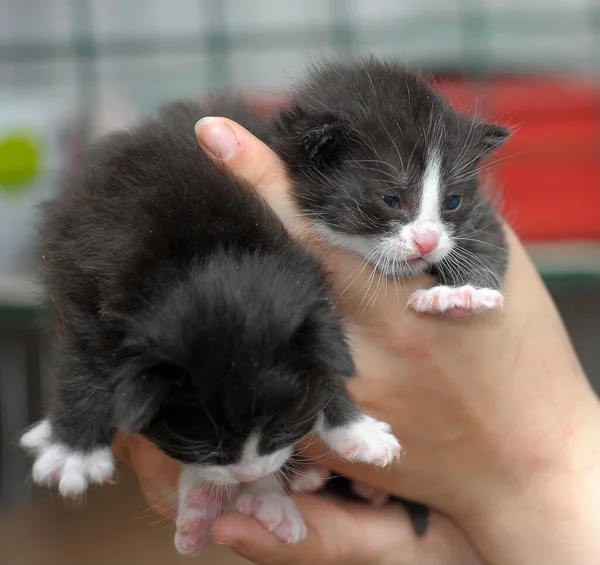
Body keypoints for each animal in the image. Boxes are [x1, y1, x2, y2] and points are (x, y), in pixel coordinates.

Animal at [21, 98, 400, 556]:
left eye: (283, 427)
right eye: (203, 446)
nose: (246, 473)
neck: (210, 255)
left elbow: (328, 351)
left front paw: (355, 428)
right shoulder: (81, 274)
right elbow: (84, 360)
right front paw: (75, 450)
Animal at [272, 59, 510, 316]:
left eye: (452, 201)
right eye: (390, 200)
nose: (427, 243)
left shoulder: (481, 213)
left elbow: (490, 240)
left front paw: (460, 293)